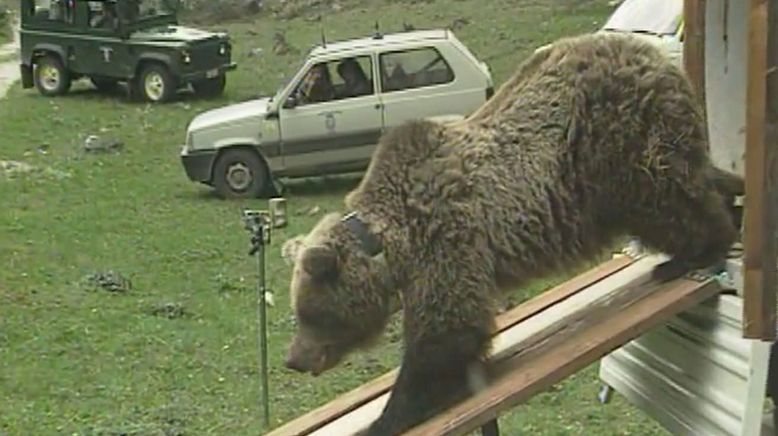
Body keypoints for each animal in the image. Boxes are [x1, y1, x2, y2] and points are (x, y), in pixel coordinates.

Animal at [282, 31, 744, 436]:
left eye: (310, 312)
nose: (294, 359)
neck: (391, 245)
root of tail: (656, 56)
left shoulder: (445, 238)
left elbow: (444, 335)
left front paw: (386, 417)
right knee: (694, 180)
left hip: (615, 144)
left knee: (665, 198)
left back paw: (690, 254)